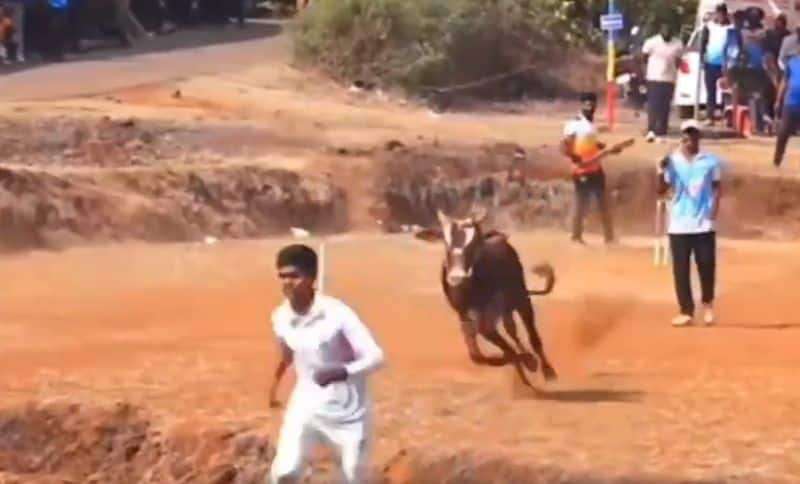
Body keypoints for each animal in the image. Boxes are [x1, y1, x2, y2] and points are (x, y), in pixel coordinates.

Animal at [416, 208, 560, 386]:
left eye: (475, 244)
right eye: (445, 243)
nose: (457, 277)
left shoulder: (515, 304)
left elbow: (530, 339)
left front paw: (536, 365)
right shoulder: (465, 316)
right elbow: (480, 355)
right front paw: (526, 361)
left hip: (519, 300)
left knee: (528, 335)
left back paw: (545, 369)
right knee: (511, 330)